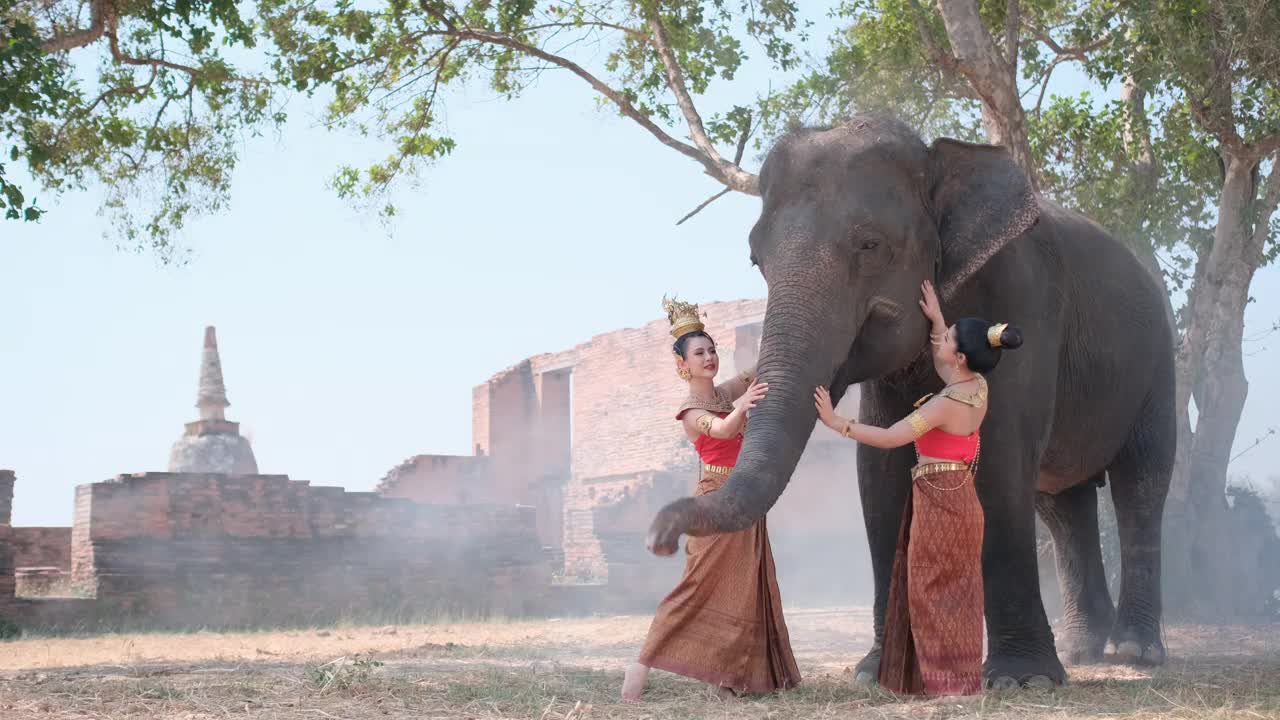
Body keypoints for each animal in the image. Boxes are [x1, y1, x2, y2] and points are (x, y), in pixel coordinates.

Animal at [645, 112, 1172, 681]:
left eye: (870, 244)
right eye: (755, 259)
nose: (660, 539)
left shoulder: (1024, 298)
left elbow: (1003, 459)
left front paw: (1021, 677)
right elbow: (879, 473)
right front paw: (876, 673)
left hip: (1159, 362)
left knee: (1141, 485)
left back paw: (1135, 652)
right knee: (1062, 502)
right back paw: (1083, 651)